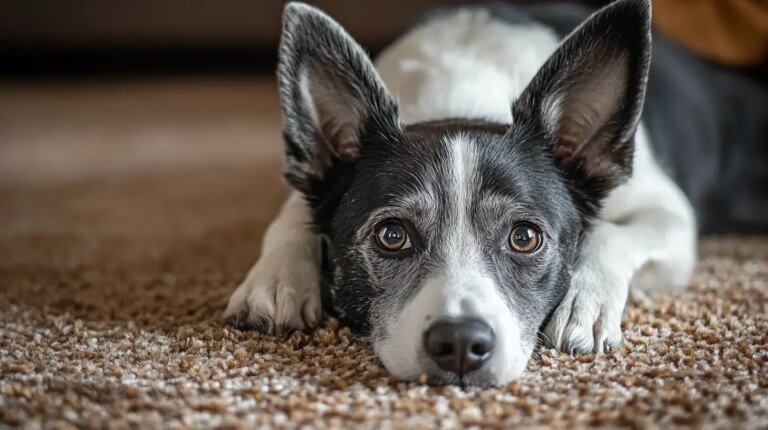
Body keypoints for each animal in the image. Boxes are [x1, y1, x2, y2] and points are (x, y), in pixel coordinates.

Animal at [224, 0, 768, 388]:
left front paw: (584, 304)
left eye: (524, 237)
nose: (461, 343)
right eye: (392, 236)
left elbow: (612, 235)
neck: (462, 96)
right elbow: (290, 216)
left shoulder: (668, 213)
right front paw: (275, 281)